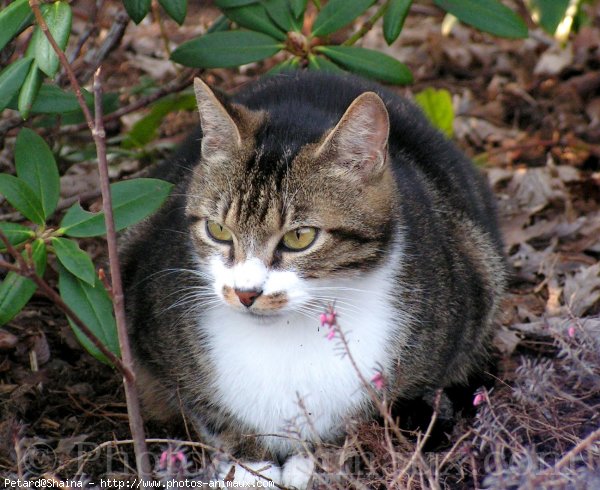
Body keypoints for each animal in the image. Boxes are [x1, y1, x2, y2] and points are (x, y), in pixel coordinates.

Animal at [122, 71, 506, 488]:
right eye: (218, 230)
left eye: (300, 237)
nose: (245, 293)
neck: (289, 338)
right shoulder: (152, 328)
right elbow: (206, 410)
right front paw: (250, 469)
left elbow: (365, 416)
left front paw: (317, 460)